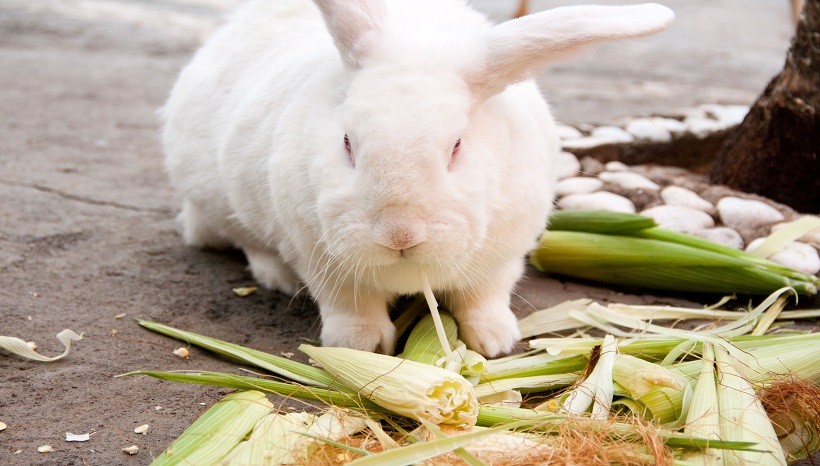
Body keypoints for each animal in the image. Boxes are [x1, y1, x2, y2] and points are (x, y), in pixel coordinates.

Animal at [160, 0, 672, 356]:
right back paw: (276, 276)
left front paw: (495, 341)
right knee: (242, 238)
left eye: (456, 147)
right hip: (215, 197)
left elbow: (483, 297)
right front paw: (361, 348)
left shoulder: (502, 256)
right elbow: (351, 306)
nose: (400, 234)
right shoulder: (320, 259)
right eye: (348, 142)